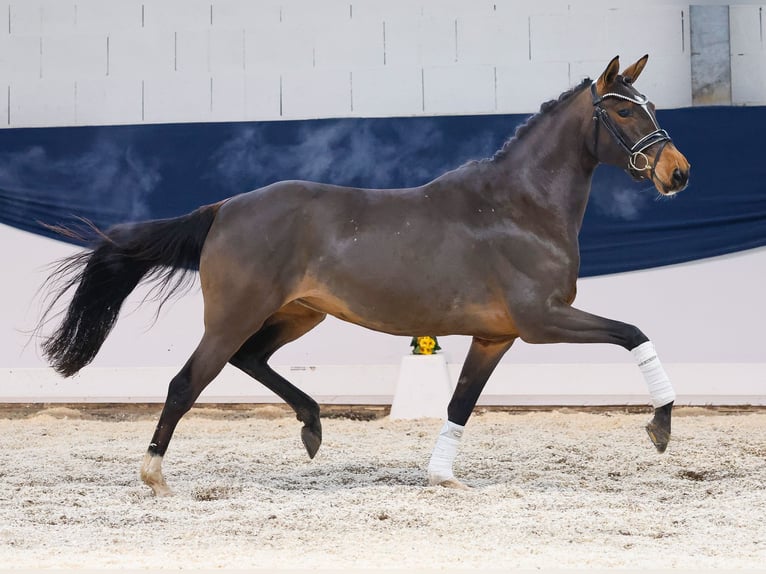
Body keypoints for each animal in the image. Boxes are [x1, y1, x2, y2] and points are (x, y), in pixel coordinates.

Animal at [39, 56, 692, 498]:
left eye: (654, 108)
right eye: (625, 109)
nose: (679, 173)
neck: (518, 207)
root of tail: (224, 208)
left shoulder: (496, 335)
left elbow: (460, 402)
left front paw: (442, 476)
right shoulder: (542, 320)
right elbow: (634, 333)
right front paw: (660, 427)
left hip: (299, 313)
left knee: (251, 359)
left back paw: (312, 427)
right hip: (235, 315)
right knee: (186, 383)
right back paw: (155, 476)